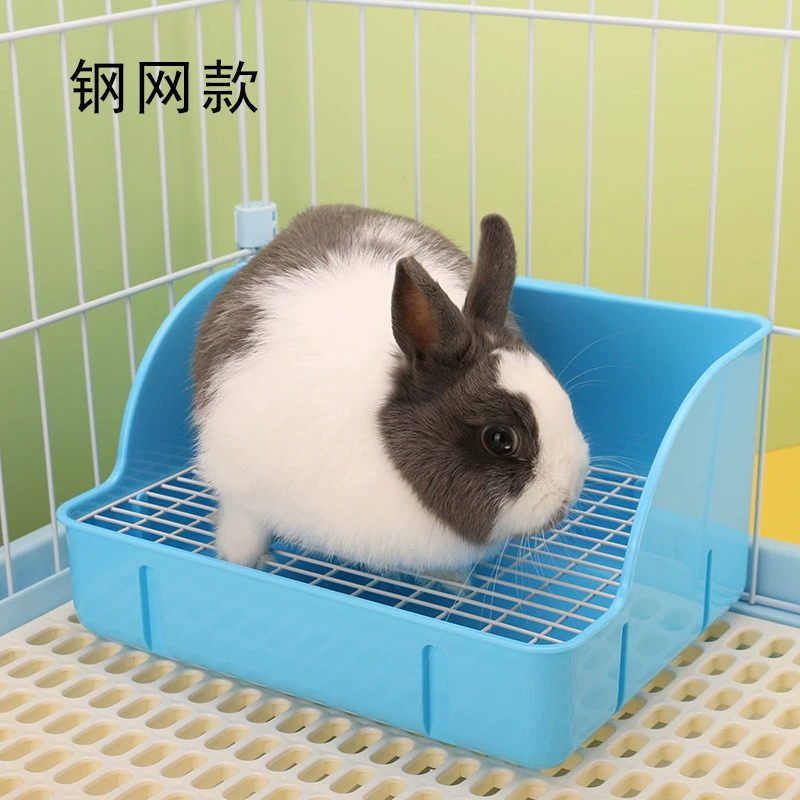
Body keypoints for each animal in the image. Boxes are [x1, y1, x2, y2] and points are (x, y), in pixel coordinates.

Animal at [192, 205, 589, 574]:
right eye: (500, 439)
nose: (569, 490)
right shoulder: (241, 493)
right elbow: (242, 531)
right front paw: (243, 561)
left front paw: (451, 580)